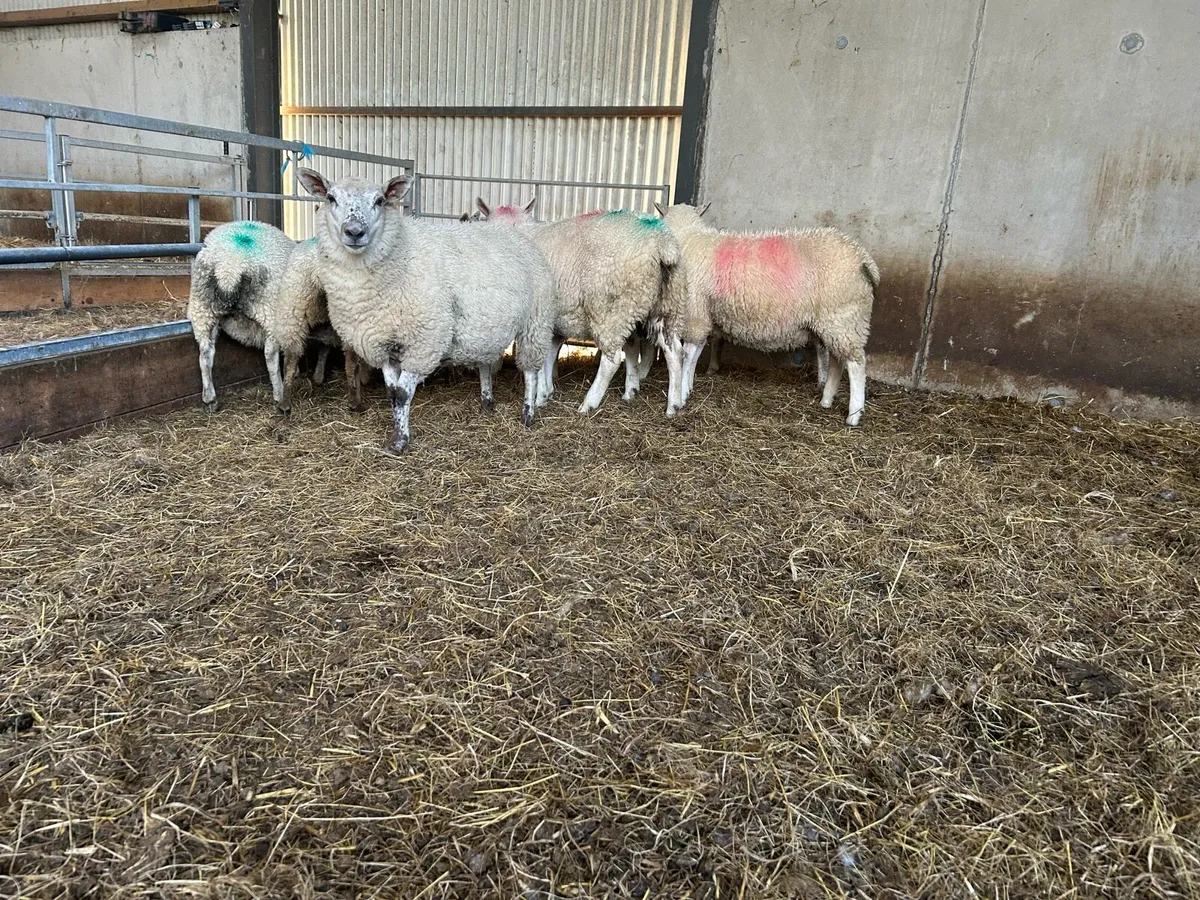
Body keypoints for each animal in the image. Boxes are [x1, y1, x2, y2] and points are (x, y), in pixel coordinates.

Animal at [186, 221, 340, 415]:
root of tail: (229, 265)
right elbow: (314, 348)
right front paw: (310, 375)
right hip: (270, 311)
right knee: (270, 354)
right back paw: (279, 393)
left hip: (203, 309)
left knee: (206, 352)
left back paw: (210, 399)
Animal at [295, 167, 556, 455]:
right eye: (331, 198)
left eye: (379, 200)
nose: (355, 231)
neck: (398, 257)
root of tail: (517, 236)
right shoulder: (384, 343)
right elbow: (391, 392)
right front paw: (395, 435)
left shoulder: (424, 341)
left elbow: (402, 394)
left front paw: (400, 442)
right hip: (487, 326)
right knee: (485, 362)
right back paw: (487, 401)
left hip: (535, 321)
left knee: (531, 371)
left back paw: (528, 414)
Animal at [469, 197, 676, 413]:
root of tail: (660, 241)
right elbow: (550, 354)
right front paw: (546, 392)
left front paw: (539, 395)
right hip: (658, 306)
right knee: (671, 350)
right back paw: (667, 402)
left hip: (610, 309)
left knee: (612, 360)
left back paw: (589, 403)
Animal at [652, 202, 878, 426]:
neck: (688, 239)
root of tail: (863, 258)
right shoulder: (703, 316)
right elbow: (695, 355)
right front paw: (688, 389)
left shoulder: (695, 313)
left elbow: (687, 356)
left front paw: (681, 395)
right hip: (836, 322)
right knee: (838, 361)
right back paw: (827, 400)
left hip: (843, 317)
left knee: (856, 365)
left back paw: (853, 416)